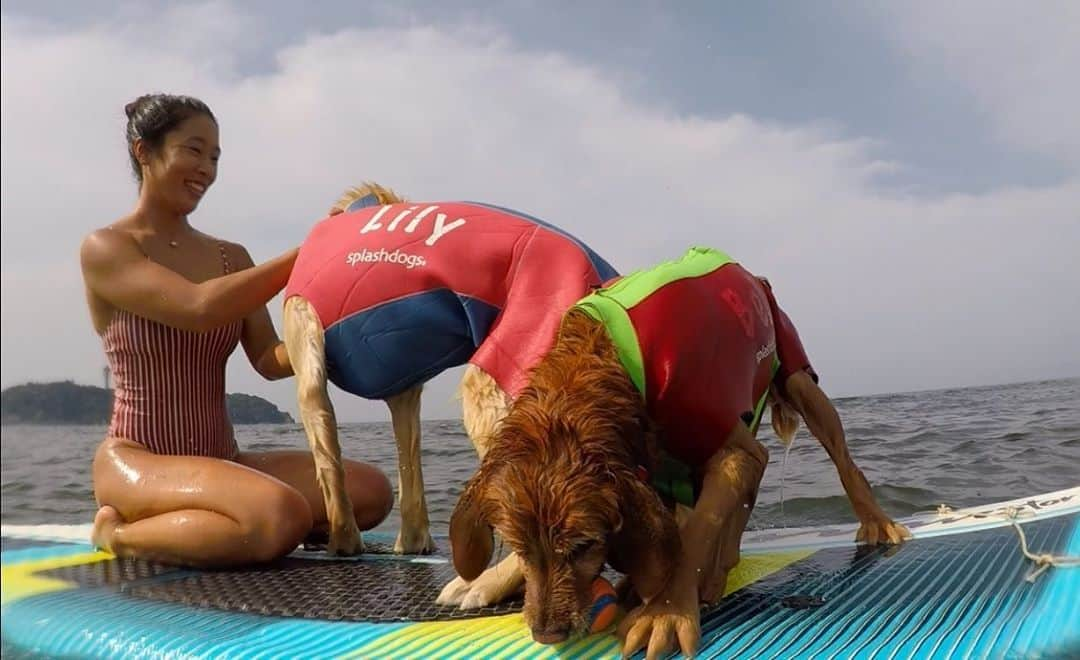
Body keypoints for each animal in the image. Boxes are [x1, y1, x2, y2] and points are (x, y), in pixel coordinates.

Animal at [280, 184, 617, 578]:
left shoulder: (309, 370)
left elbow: (330, 463)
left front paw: (343, 541)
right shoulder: (404, 391)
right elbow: (410, 472)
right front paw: (412, 544)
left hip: (504, 376)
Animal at [447, 246, 911, 656]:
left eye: (583, 546)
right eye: (521, 548)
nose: (547, 633)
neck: (600, 364)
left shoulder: (735, 450)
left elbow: (697, 533)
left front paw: (665, 612)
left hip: (797, 376)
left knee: (841, 459)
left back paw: (876, 522)